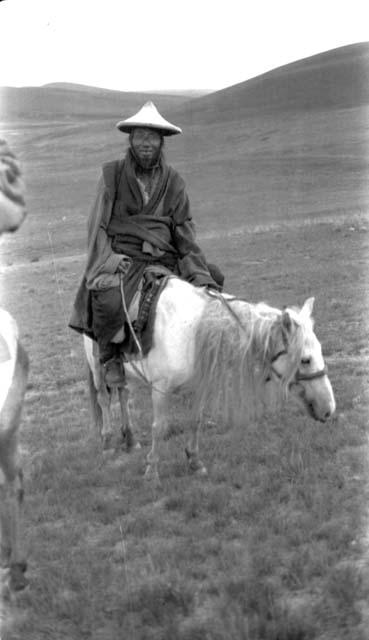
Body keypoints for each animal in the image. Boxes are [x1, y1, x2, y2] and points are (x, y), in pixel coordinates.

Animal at [85, 278, 334, 482]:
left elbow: (195, 421)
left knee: (123, 394)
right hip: (97, 367)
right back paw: (107, 443)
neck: (192, 333)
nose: (329, 409)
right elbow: (159, 427)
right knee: (104, 399)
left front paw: (194, 462)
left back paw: (130, 439)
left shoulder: (200, 385)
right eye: (305, 360)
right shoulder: (160, 388)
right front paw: (152, 470)